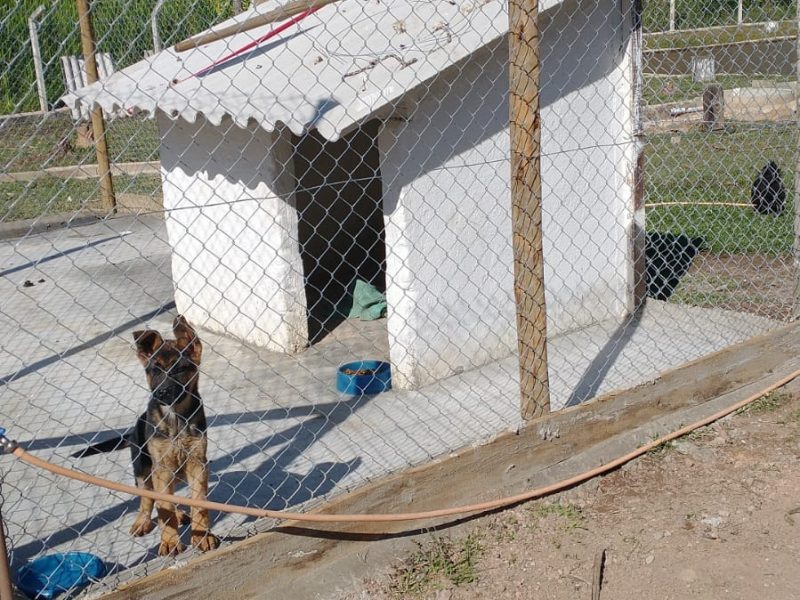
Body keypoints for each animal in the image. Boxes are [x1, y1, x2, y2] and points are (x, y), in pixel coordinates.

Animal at [72, 316, 219, 556]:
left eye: (178, 370)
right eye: (154, 371)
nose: (160, 393)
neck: (175, 418)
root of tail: (133, 431)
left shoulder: (197, 462)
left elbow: (199, 502)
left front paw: (202, 536)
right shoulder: (162, 467)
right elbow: (163, 506)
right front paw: (170, 541)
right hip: (144, 469)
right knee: (148, 499)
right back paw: (143, 521)